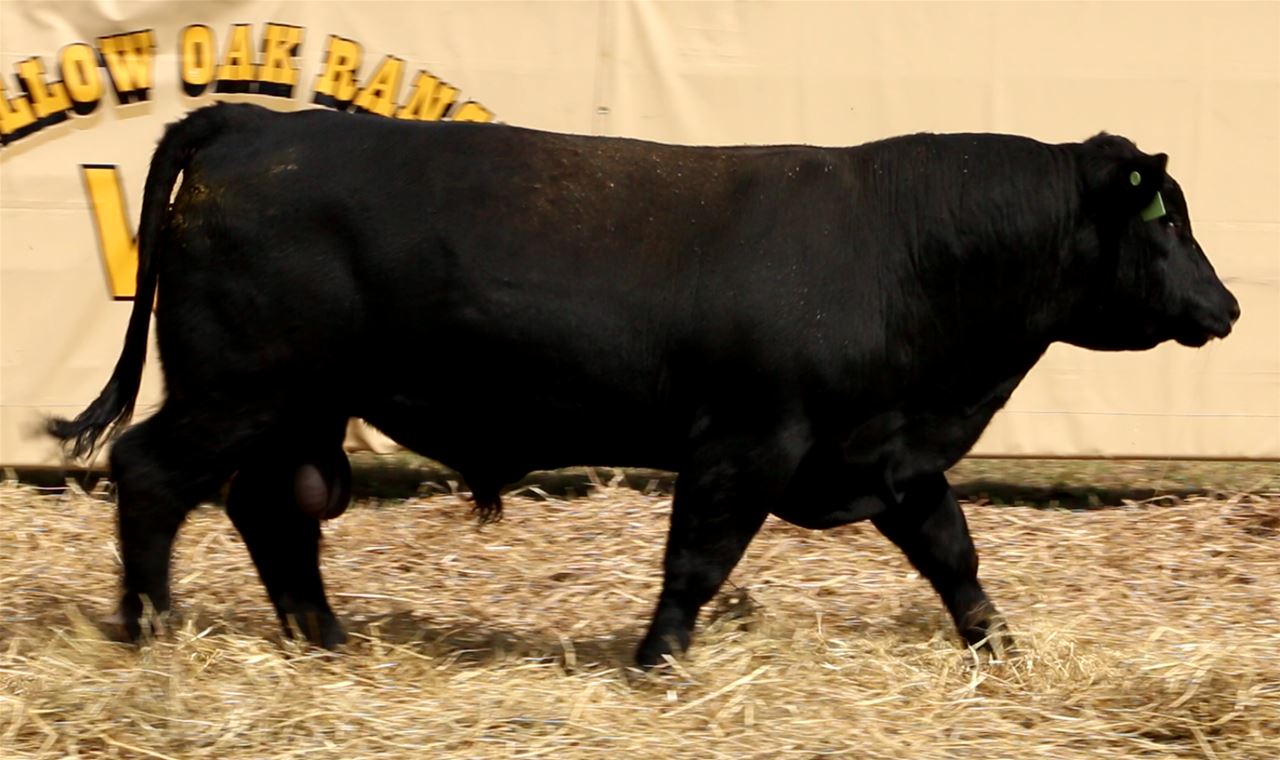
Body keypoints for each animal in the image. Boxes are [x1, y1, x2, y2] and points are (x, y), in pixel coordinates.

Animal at [49, 103, 1239, 667]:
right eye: (1166, 220)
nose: (1224, 308)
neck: (895, 250)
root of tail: (252, 123)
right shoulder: (744, 444)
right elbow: (697, 562)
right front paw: (654, 659)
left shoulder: (889, 454)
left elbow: (954, 558)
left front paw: (1003, 651)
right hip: (236, 388)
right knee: (151, 473)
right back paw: (151, 627)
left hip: (295, 406)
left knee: (273, 509)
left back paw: (321, 637)